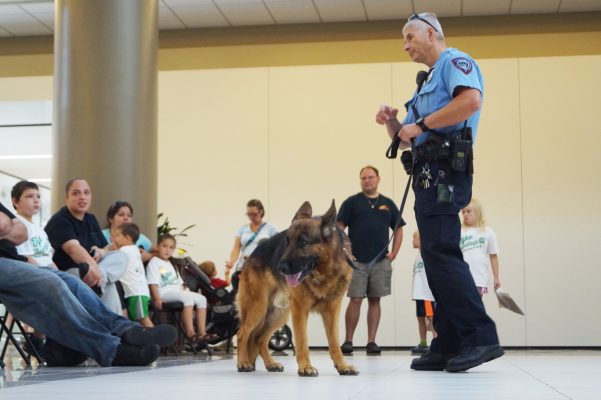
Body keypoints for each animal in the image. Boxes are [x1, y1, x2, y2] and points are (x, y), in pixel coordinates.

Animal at [234, 202, 356, 376]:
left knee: (259, 338)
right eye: (287, 242)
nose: (280, 268)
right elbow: (302, 340)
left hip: (279, 314)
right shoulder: (299, 310)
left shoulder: (332, 311)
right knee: (243, 333)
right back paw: (243, 363)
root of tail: (252, 254)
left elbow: (334, 342)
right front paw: (305, 367)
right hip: (259, 307)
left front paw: (342, 366)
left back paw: (270, 364)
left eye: (303, 243)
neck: (324, 273)